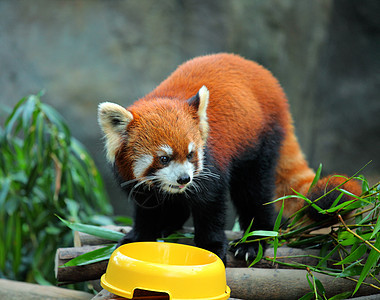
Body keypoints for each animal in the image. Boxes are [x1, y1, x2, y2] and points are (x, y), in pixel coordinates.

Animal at [96, 53, 360, 262]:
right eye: (163, 159)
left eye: (191, 154)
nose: (184, 179)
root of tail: (268, 80)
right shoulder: (138, 181)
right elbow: (146, 208)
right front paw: (141, 235)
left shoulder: (211, 167)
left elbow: (211, 205)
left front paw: (211, 245)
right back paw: (170, 224)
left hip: (259, 142)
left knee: (253, 193)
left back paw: (253, 241)